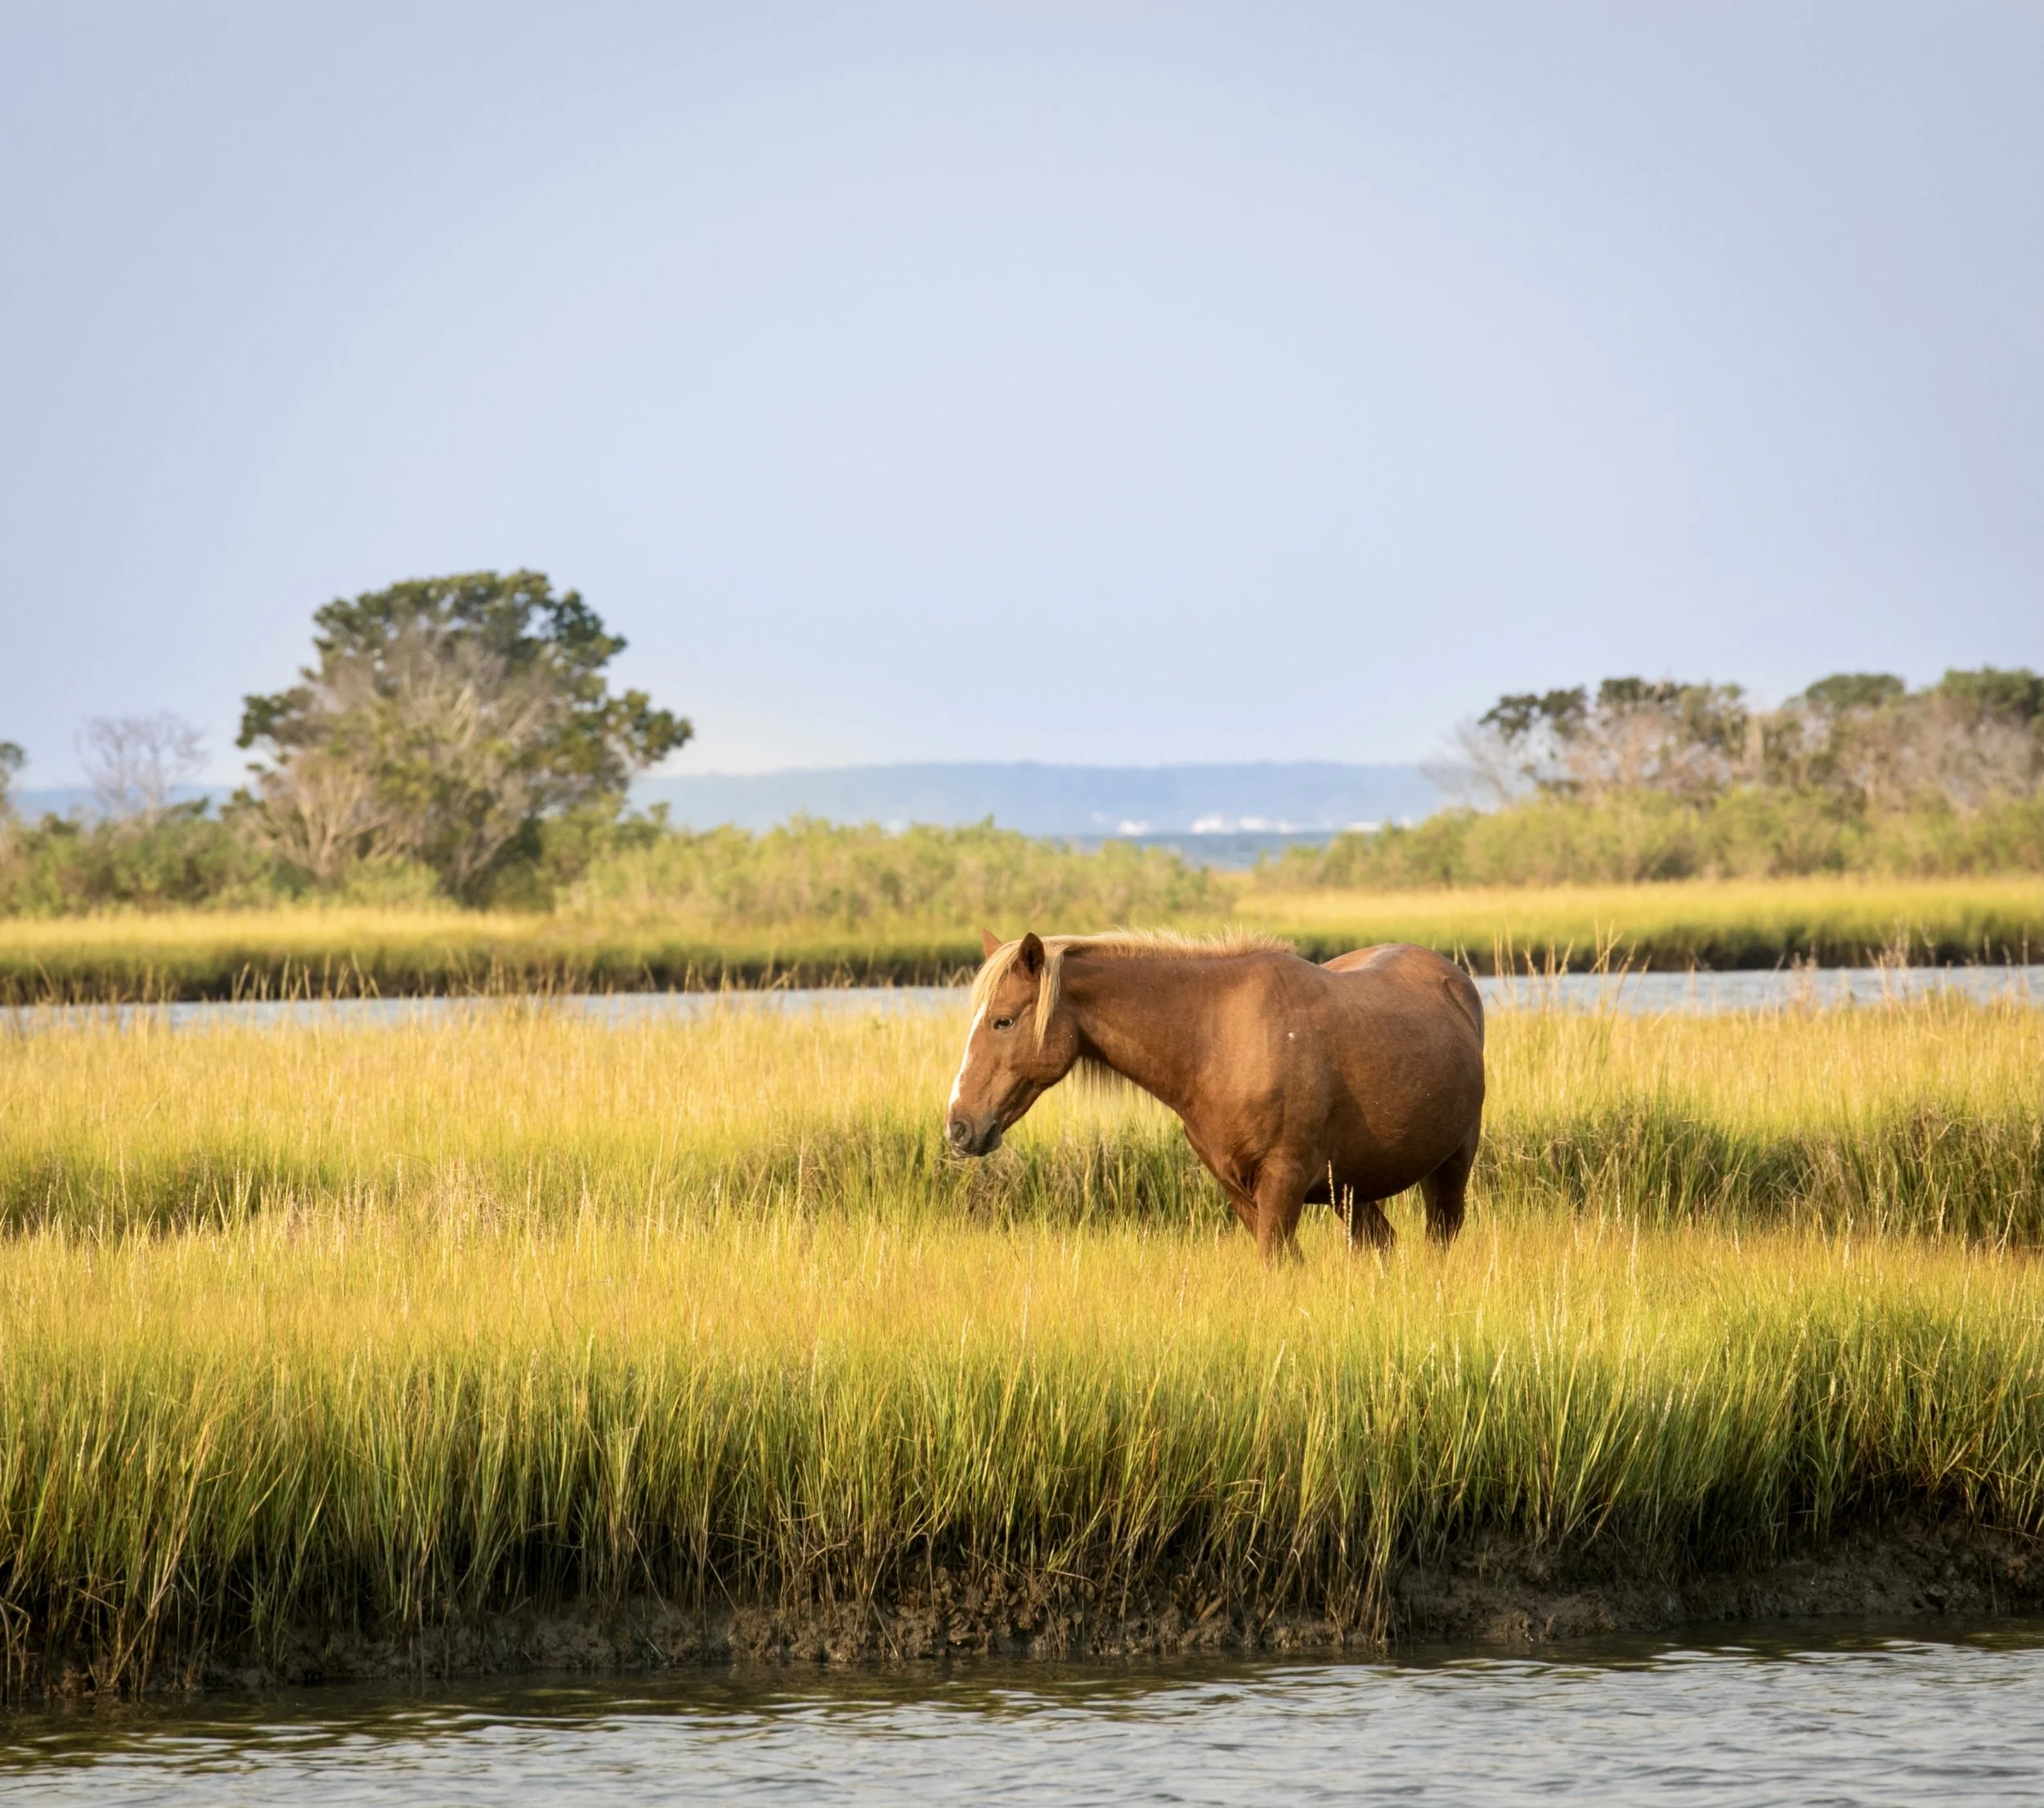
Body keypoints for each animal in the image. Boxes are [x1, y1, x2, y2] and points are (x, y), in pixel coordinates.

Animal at [944, 929, 1485, 1258]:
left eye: (1003, 1021)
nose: (960, 1126)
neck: (1215, 1041)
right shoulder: (1238, 1189)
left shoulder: (1283, 1182)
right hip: (1350, 1190)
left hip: (1450, 1169)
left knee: (1440, 1238)